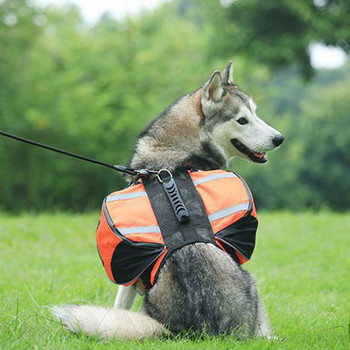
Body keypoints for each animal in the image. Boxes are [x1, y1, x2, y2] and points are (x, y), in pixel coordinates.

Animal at [52, 61, 284, 340]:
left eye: (255, 114)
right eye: (242, 120)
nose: (279, 138)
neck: (177, 155)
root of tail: (195, 329)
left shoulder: (130, 278)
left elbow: (118, 306)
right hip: (252, 284)